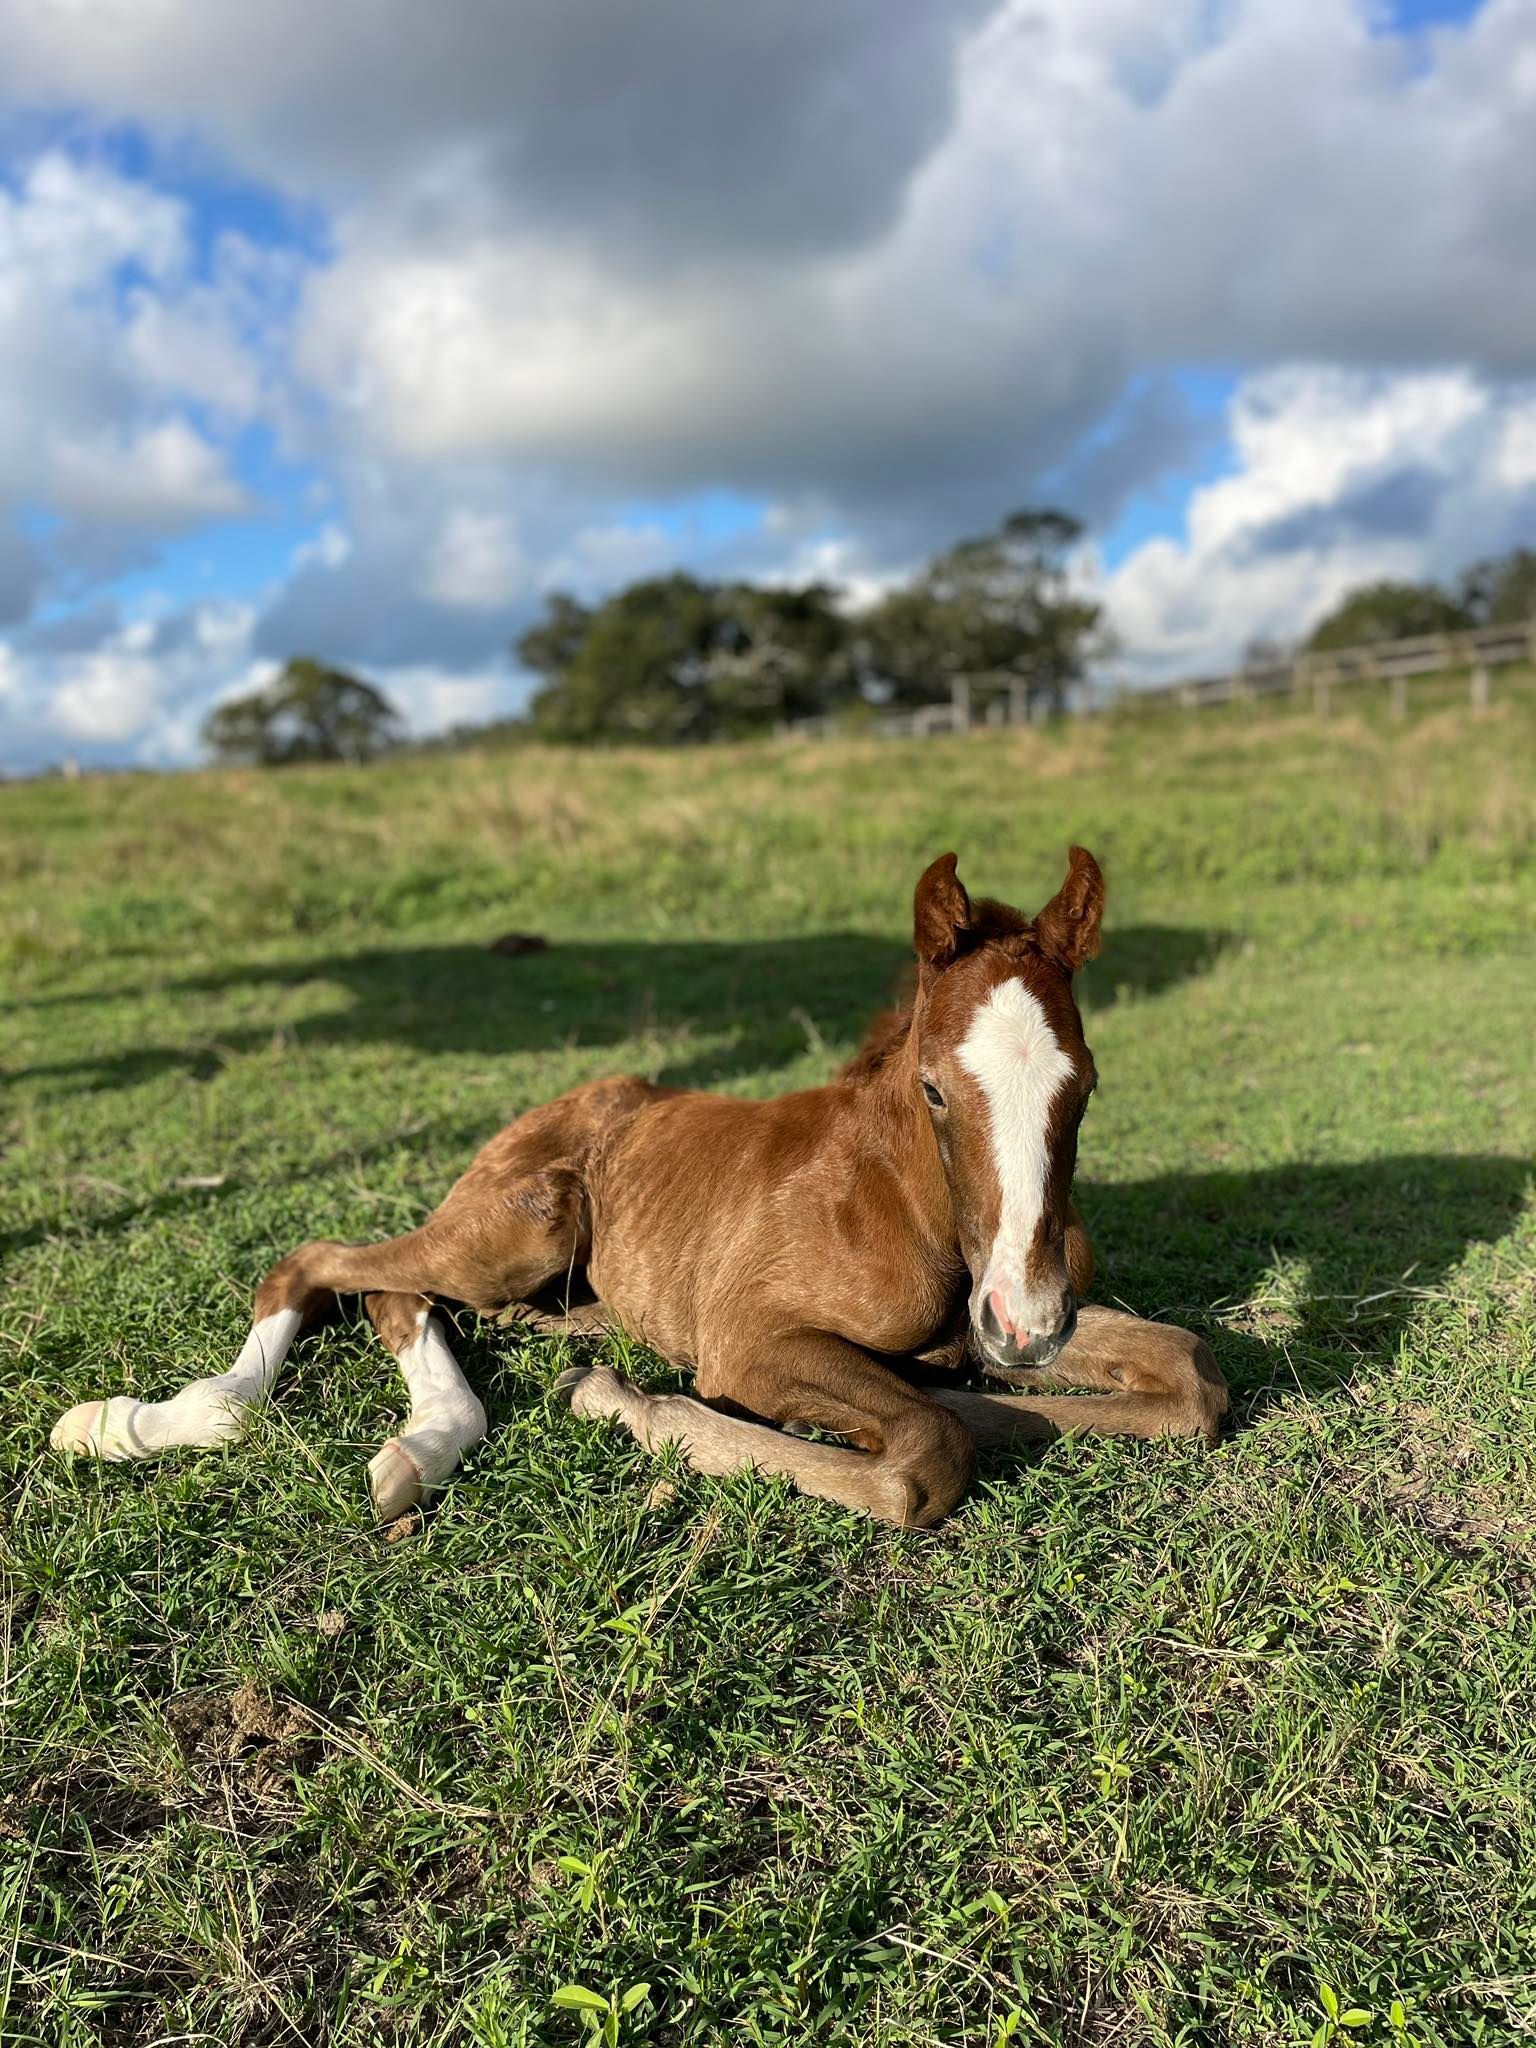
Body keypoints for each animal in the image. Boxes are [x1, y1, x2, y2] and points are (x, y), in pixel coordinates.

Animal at [51, 848, 1229, 1527]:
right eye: (936, 1087)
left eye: (1086, 1083)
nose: (1026, 1323)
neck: (909, 1202)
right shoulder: (752, 1337)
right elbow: (924, 1457)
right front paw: (636, 1403)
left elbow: (1190, 1376)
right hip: (520, 1224)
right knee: (329, 1265)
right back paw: (153, 1423)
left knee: (407, 1296)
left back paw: (425, 1445)